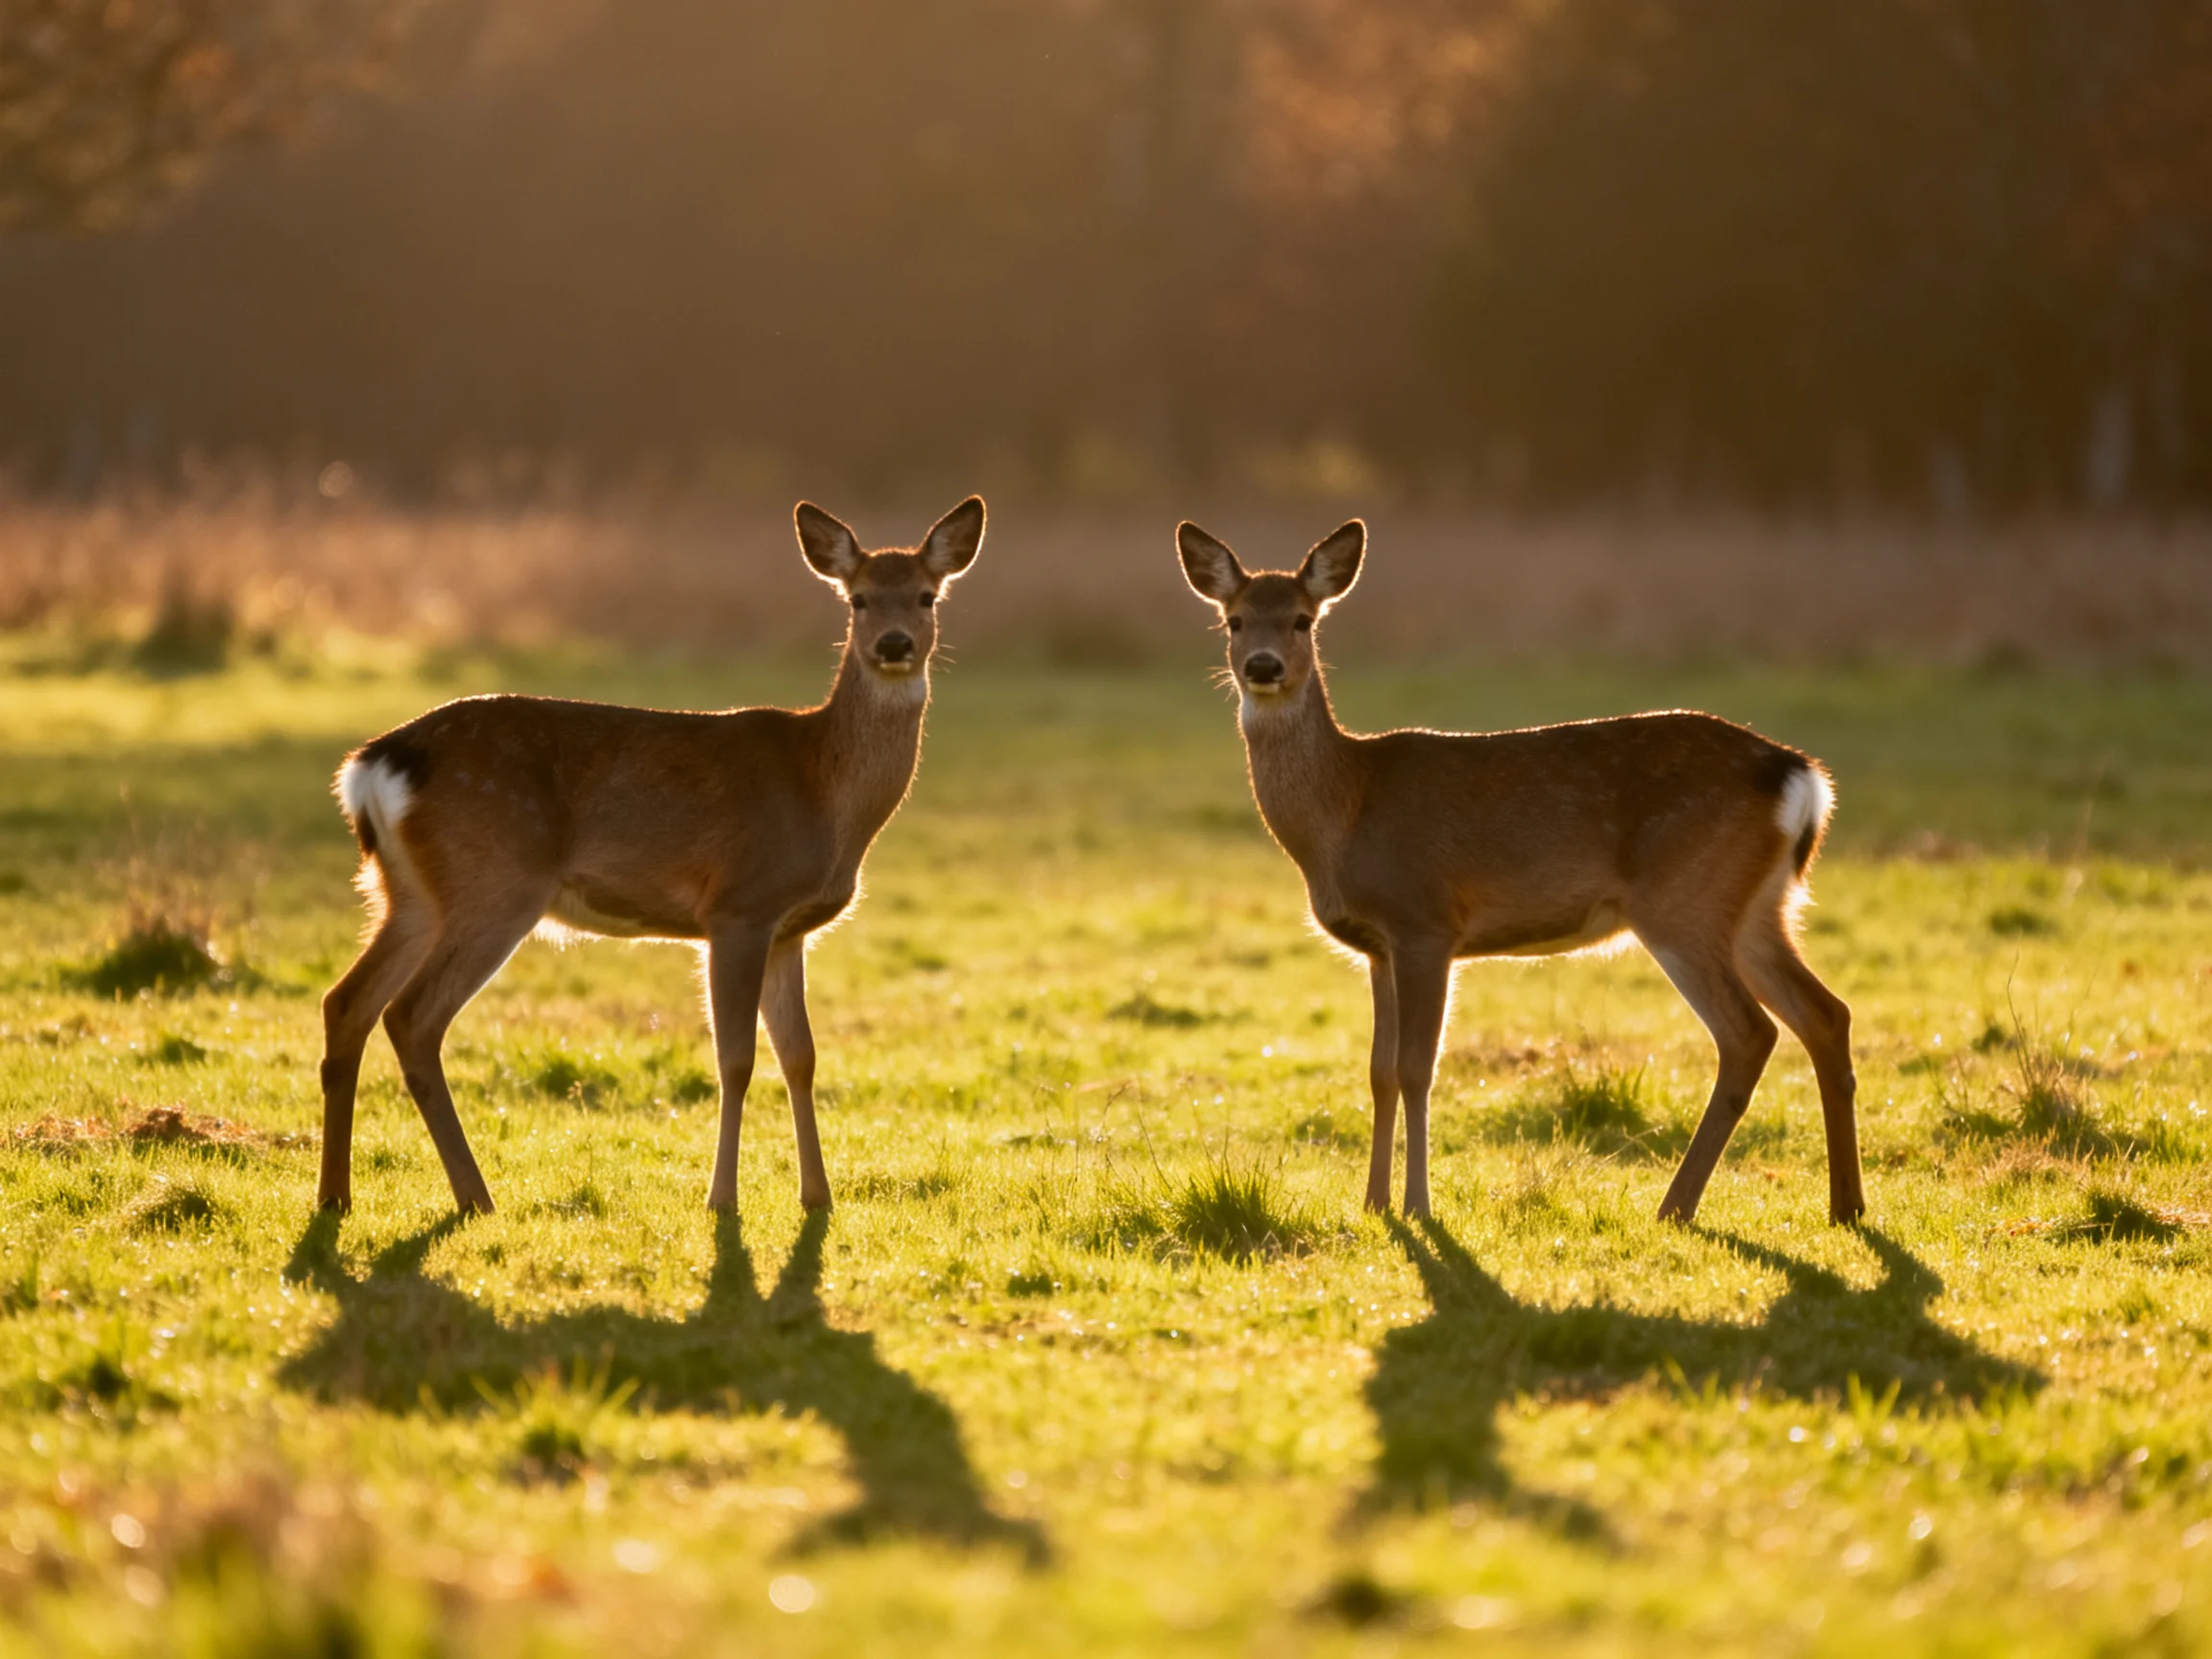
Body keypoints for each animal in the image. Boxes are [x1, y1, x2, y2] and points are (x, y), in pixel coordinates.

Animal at [315, 497, 986, 1219]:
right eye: (857, 599)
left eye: (925, 595)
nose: (894, 644)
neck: (824, 793)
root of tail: (372, 765)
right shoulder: (738, 906)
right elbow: (736, 1060)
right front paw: (722, 1199)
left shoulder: (789, 930)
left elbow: (800, 1057)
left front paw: (817, 1196)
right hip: (493, 883)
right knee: (411, 1016)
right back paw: (475, 1196)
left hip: (408, 894)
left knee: (345, 1002)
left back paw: (336, 1196)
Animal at [1176, 518, 1864, 1227]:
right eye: (1233, 620)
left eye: (1303, 620)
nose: (1263, 666)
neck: (1345, 812)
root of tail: (1799, 775)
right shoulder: (1376, 947)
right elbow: (1378, 1071)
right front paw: (1373, 1203)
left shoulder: (1425, 921)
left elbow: (1418, 1067)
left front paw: (1418, 1206)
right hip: (1757, 907)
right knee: (1826, 1014)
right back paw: (1845, 1205)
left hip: (1684, 902)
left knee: (1749, 1032)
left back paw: (1676, 1205)